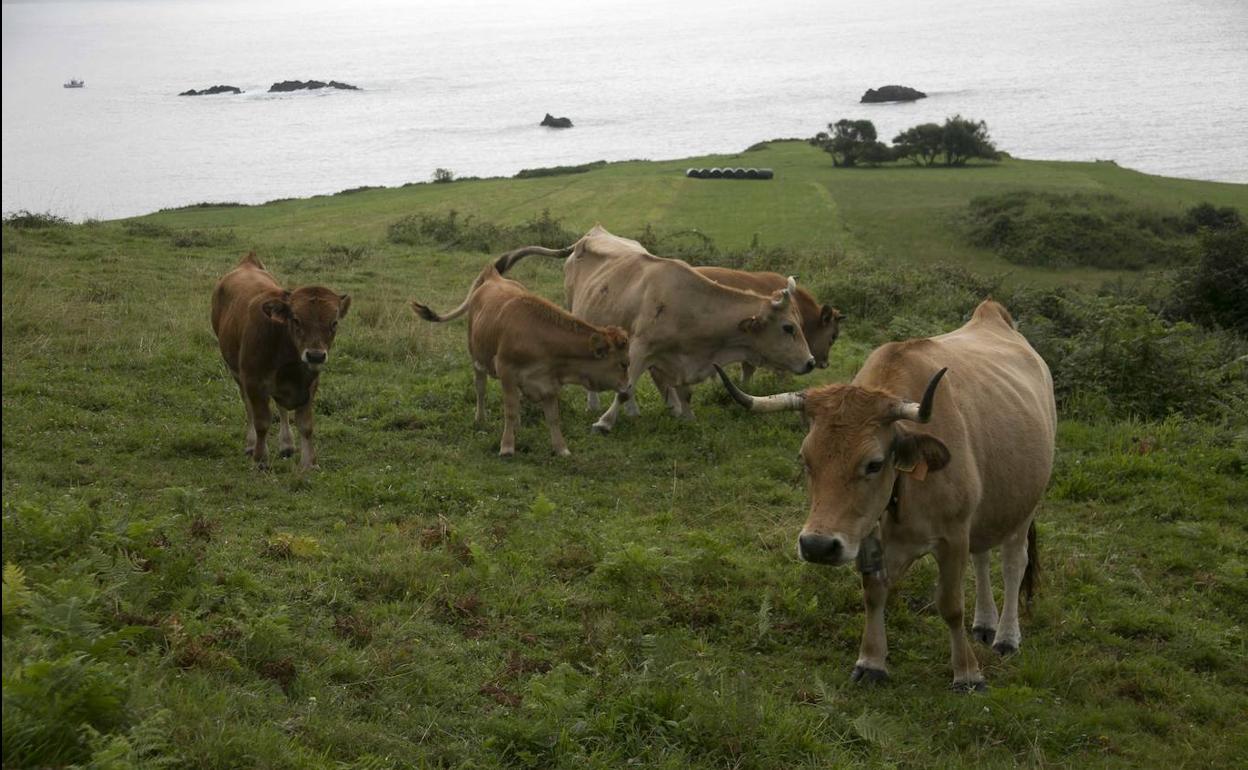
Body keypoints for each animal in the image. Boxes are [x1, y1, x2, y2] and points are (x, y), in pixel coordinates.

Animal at [211, 252, 351, 470]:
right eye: (296, 319)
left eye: (334, 323)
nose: (315, 355)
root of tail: (247, 264)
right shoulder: (253, 381)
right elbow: (261, 422)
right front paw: (260, 459)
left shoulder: (309, 384)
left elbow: (305, 425)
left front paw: (309, 463)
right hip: (236, 373)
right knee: (248, 408)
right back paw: (251, 444)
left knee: (282, 409)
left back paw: (286, 444)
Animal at [411, 259, 630, 457]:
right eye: (623, 363)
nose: (628, 387)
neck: (539, 339)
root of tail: (493, 276)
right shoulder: (506, 371)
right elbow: (509, 409)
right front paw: (507, 447)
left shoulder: (549, 382)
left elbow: (552, 417)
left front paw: (561, 449)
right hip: (477, 359)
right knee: (480, 388)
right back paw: (481, 418)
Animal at [496, 226, 816, 433]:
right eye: (788, 328)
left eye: (799, 324)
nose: (811, 362)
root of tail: (586, 237)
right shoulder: (640, 346)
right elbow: (626, 388)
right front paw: (604, 422)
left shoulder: (684, 357)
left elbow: (683, 391)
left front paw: (687, 416)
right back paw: (596, 404)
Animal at [714, 299, 1056, 690]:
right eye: (806, 459)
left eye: (874, 463)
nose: (817, 546)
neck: (901, 493)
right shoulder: (864, 533)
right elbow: (874, 594)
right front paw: (872, 661)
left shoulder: (953, 536)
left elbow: (951, 605)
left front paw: (967, 672)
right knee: (982, 556)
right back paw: (985, 622)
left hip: (1025, 506)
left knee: (1014, 564)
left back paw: (1006, 636)